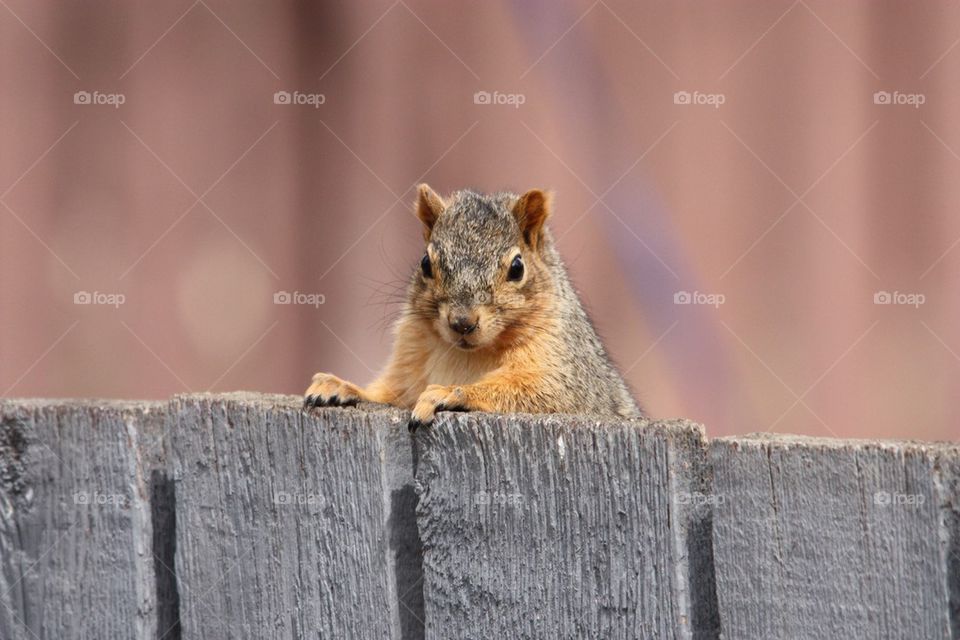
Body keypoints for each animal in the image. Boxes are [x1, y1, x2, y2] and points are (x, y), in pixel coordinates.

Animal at [304, 184, 643, 431]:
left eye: (517, 268)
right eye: (425, 263)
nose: (462, 322)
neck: (468, 355)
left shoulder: (571, 377)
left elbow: (541, 392)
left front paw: (449, 393)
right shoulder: (409, 360)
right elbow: (390, 393)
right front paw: (340, 386)